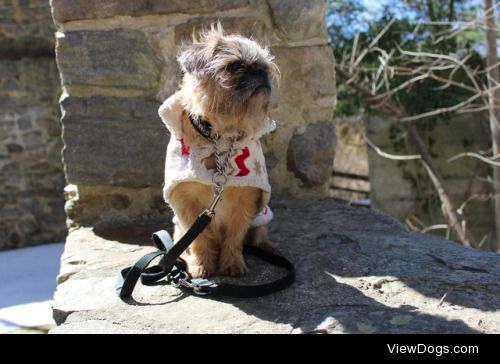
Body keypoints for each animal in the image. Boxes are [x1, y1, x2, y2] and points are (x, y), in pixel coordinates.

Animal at [158, 22, 280, 278]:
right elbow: (199, 239)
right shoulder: (187, 206)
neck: (220, 137)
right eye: (235, 66)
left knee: (259, 235)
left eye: (265, 67)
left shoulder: (246, 201)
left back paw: (267, 246)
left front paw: (232, 263)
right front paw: (201, 265)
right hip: (178, 229)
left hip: (262, 217)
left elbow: (234, 236)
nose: (260, 72)